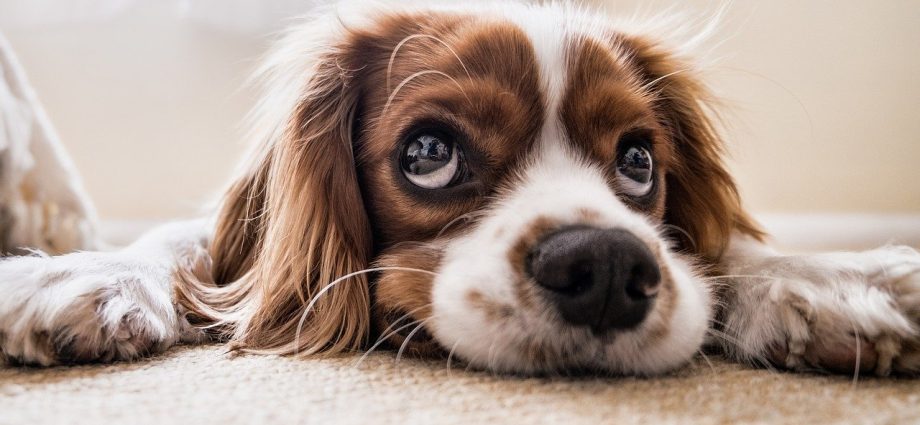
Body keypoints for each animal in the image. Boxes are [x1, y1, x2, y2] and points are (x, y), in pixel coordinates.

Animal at [1, 2, 920, 374]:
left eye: (638, 162)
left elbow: (728, 250)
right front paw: (81, 274)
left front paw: (831, 279)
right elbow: (188, 244)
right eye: (429, 152)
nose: (606, 267)